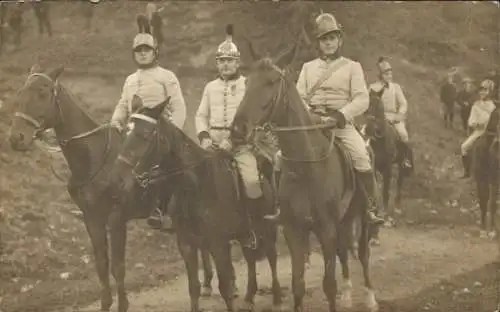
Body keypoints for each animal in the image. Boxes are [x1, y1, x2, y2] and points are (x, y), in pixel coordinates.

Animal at [7, 65, 215, 312]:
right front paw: (105, 303)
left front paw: (122, 304)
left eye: (42, 93)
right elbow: (101, 264)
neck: (95, 159)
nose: (16, 138)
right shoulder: (92, 219)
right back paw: (208, 283)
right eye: (20, 93)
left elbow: (118, 266)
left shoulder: (116, 219)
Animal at [109, 100, 282, 312]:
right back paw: (249, 297)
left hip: (267, 227)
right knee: (250, 258)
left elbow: (225, 287)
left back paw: (277, 296)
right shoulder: (187, 244)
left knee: (272, 256)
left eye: (146, 134)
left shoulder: (218, 244)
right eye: (126, 132)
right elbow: (194, 287)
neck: (197, 186)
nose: (117, 177)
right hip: (246, 233)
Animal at [230, 45, 378, 310]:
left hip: (361, 216)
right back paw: (348, 293)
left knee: (362, 253)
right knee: (344, 251)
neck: (306, 167)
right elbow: (298, 283)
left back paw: (370, 297)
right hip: (343, 220)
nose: (237, 130)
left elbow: (329, 284)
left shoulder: (326, 229)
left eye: (271, 81)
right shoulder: (294, 230)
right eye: (246, 82)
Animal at [364, 86, 414, 225]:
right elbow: (377, 190)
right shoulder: (375, 168)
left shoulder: (388, 168)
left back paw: (396, 208)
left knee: (399, 183)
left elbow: (386, 191)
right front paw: (377, 213)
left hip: (401, 166)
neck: (380, 140)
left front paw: (386, 216)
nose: (368, 129)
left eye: (377, 105)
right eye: (366, 106)